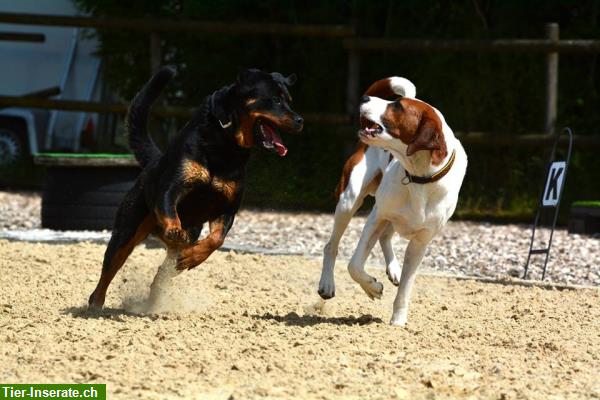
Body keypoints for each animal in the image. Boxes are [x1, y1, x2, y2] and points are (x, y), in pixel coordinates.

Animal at [88, 68, 304, 310]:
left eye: (289, 101)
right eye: (275, 100)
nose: (300, 120)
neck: (226, 142)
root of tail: (153, 162)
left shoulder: (227, 208)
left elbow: (216, 239)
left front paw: (193, 257)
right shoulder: (172, 186)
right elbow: (169, 208)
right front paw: (175, 229)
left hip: (184, 239)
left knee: (164, 271)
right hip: (126, 230)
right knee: (110, 267)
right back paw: (95, 303)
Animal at [316, 76, 466, 326]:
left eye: (397, 106)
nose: (364, 98)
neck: (419, 176)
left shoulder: (420, 242)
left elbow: (406, 286)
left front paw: (398, 320)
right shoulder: (377, 215)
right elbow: (354, 265)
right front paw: (372, 287)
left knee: (385, 237)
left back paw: (394, 269)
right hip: (348, 201)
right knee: (332, 246)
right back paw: (327, 284)